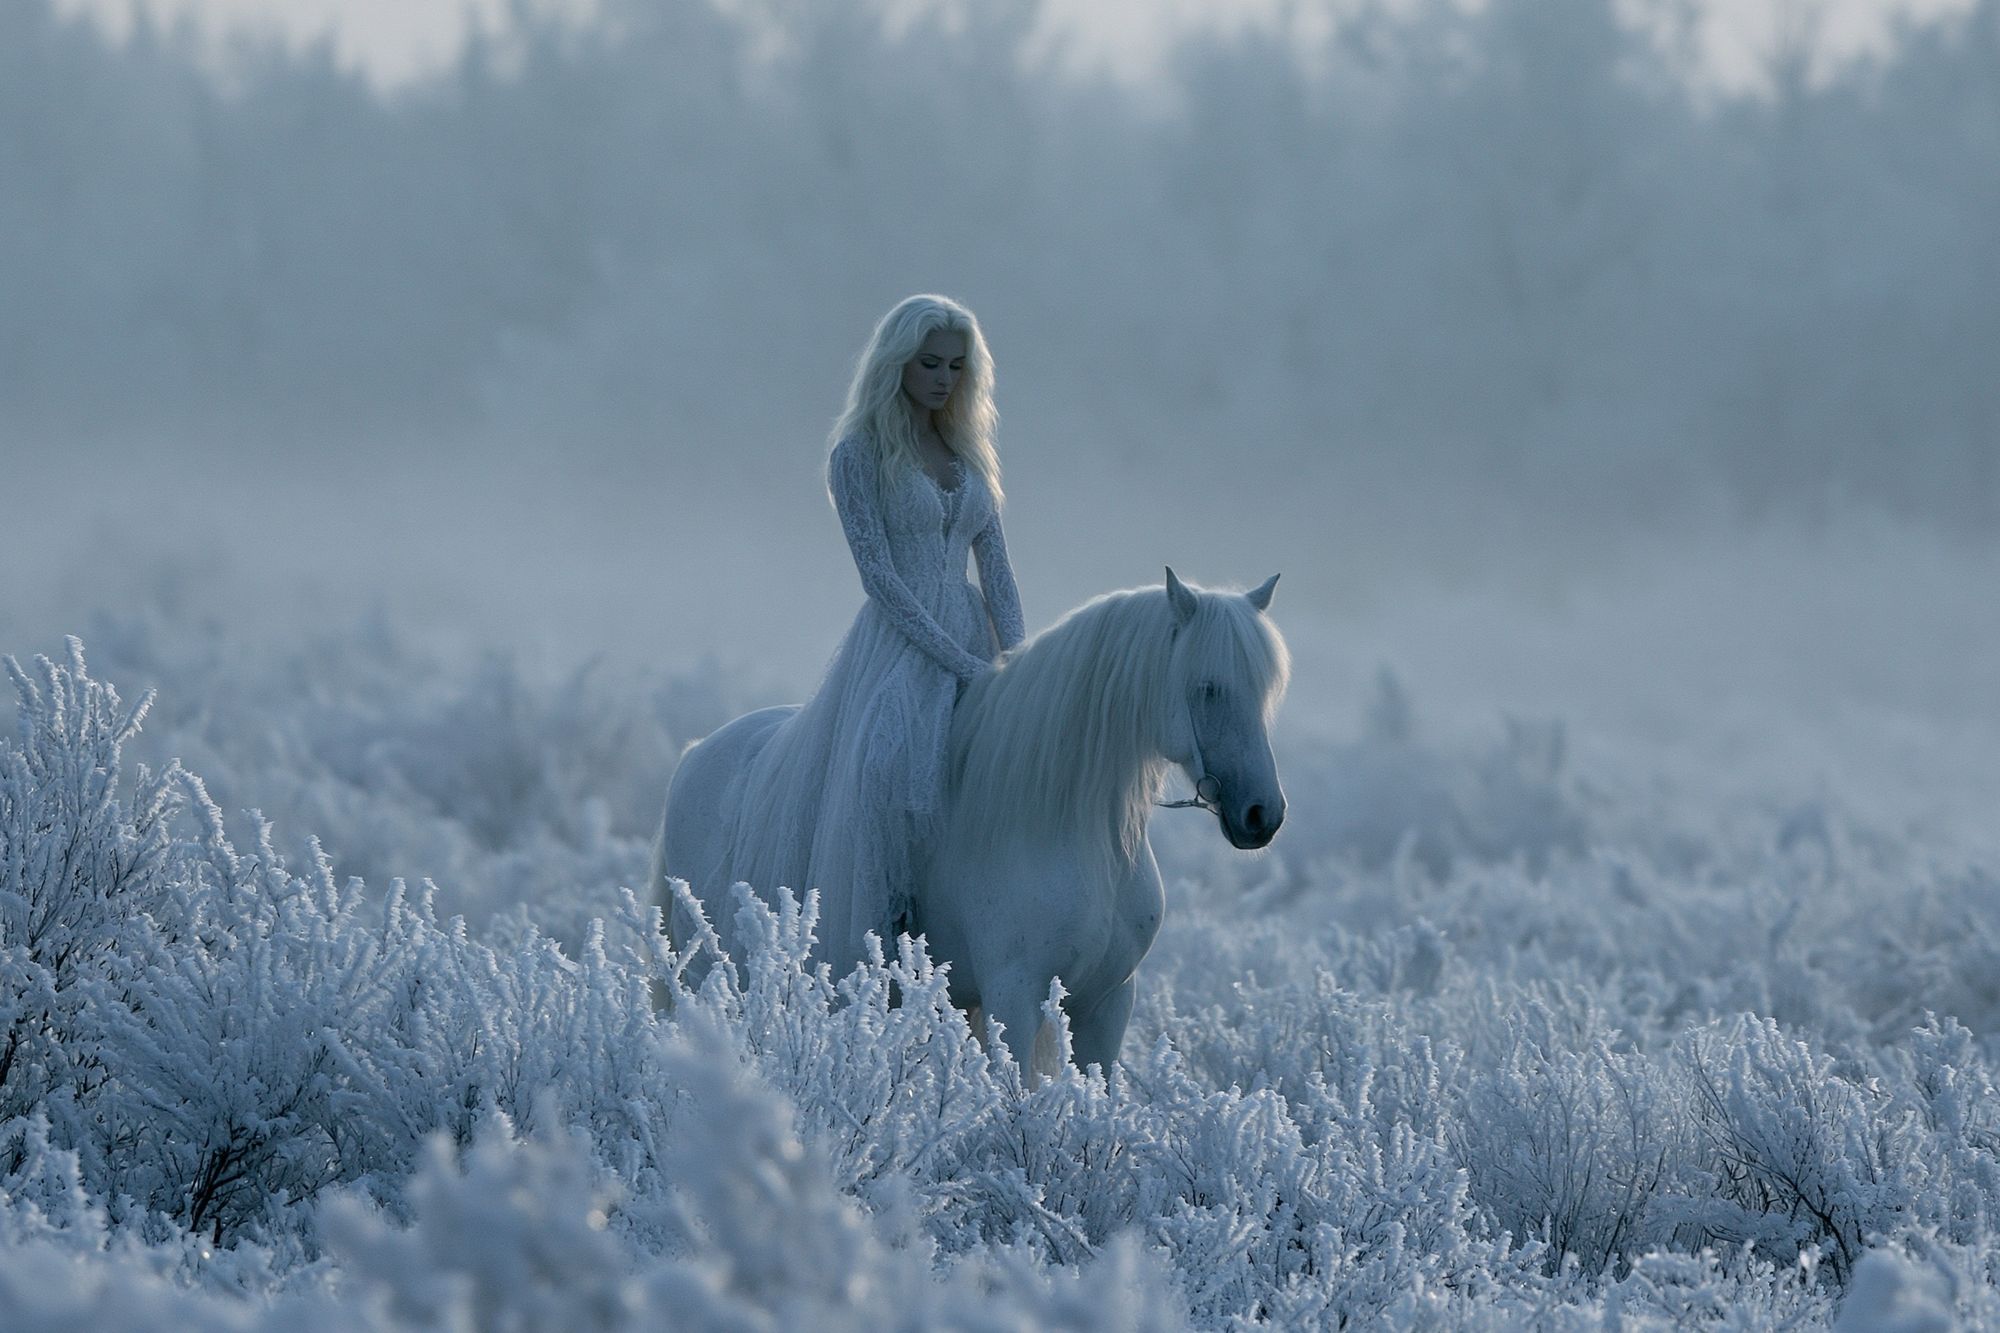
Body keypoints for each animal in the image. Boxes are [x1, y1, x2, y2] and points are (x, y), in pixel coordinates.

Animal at [650, 568, 1289, 1073]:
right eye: (1208, 689)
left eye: (1265, 692)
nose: (1263, 814)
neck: (1071, 828)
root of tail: (694, 755)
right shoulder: (1016, 993)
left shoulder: (1108, 1003)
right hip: (711, 979)